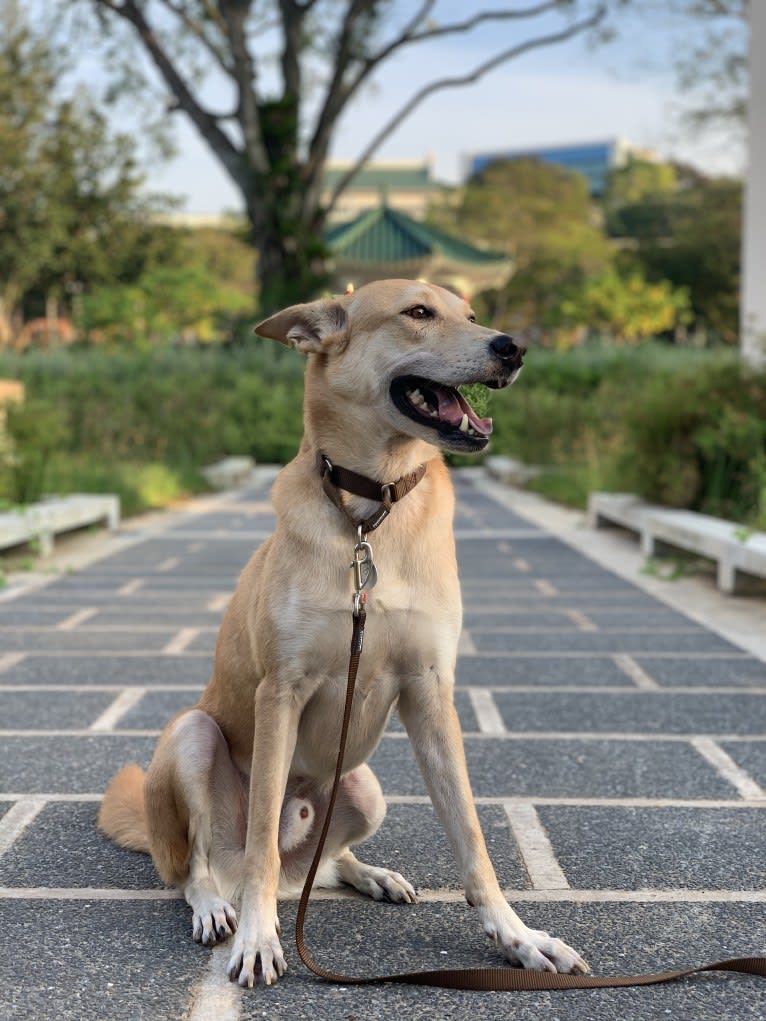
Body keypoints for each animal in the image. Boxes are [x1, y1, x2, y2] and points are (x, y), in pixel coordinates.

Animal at [99, 281, 592, 988]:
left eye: (471, 314)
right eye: (419, 313)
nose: (514, 347)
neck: (370, 510)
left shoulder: (431, 692)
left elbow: (471, 836)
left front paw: (518, 937)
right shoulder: (280, 691)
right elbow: (260, 844)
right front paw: (258, 937)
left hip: (364, 787)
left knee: (324, 865)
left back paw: (372, 875)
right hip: (192, 738)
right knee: (202, 867)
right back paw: (218, 905)